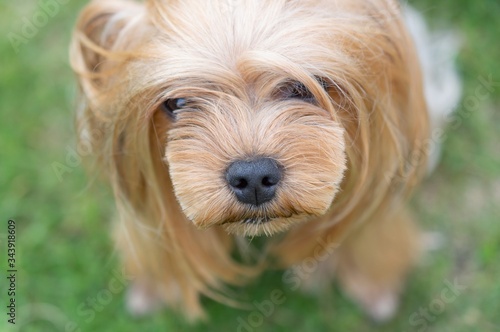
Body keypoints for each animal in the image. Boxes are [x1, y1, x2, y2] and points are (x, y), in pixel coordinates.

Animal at [70, 0, 460, 322]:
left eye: (307, 87)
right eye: (176, 103)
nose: (253, 176)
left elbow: (366, 227)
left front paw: (372, 282)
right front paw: (158, 282)